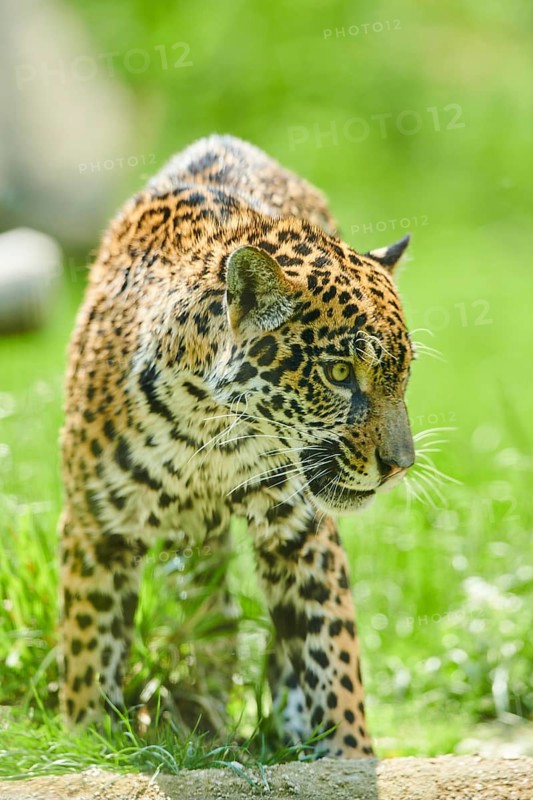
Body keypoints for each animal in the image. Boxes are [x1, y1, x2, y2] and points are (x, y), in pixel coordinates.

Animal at [59, 134, 415, 759]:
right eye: (340, 372)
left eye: (404, 377)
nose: (400, 465)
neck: (207, 433)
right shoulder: (94, 524)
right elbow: (88, 642)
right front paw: (85, 736)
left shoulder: (300, 531)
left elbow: (330, 649)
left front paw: (347, 752)